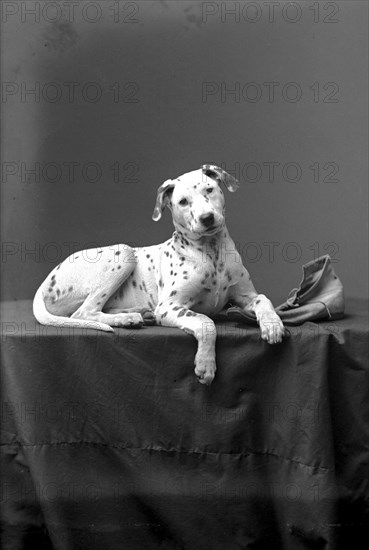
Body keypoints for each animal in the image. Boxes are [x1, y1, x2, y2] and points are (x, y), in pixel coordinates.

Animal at [33, 166, 284, 386]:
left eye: (209, 190)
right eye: (183, 202)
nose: (207, 218)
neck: (211, 253)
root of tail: (44, 284)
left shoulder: (244, 296)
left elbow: (263, 300)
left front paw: (272, 325)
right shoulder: (169, 307)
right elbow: (206, 322)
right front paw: (206, 364)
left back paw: (138, 314)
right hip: (124, 253)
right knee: (84, 312)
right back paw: (126, 319)